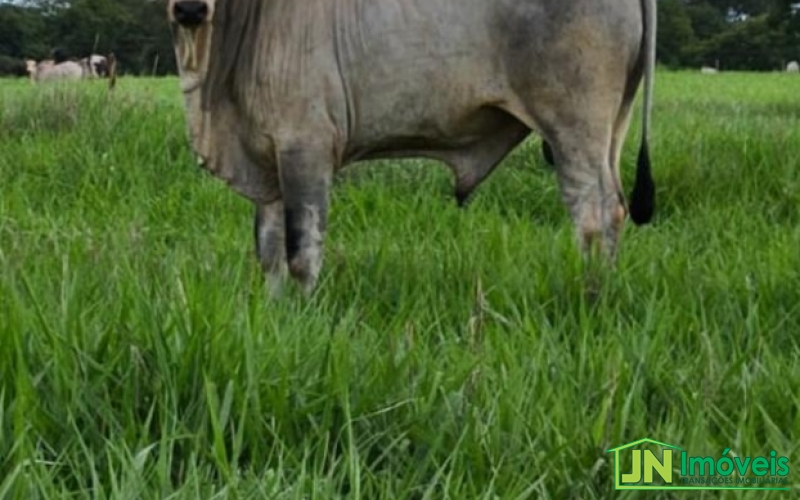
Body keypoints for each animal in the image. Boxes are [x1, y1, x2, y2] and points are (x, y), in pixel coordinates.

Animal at [167, 0, 658, 296]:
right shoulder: (267, 161)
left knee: (594, 214)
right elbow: (268, 254)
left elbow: (301, 251)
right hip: (611, 129)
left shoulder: (306, 148)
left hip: (576, 126)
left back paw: (591, 290)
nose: (190, 8)